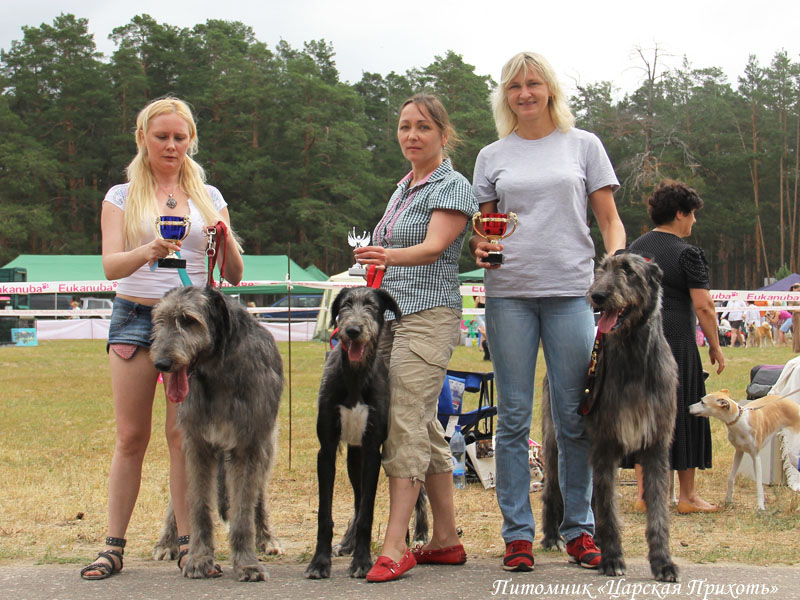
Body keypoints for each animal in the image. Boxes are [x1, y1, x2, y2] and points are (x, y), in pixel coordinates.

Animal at [150, 286, 284, 580]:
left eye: (189, 320)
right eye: (160, 321)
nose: (161, 363)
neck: (217, 372)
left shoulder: (247, 446)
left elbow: (243, 511)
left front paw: (247, 563)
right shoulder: (197, 444)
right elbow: (198, 507)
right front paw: (198, 558)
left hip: (266, 446)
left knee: (258, 495)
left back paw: (267, 539)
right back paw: (166, 543)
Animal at [540, 253, 680, 580]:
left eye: (628, 270)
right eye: (600, 269)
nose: (597, 296)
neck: (634, 357)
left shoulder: (656, 444)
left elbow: (657, 511)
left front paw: (663, 562)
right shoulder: (605, 441)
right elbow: (607, 508)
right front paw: (613, 558)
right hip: (554, 439)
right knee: (552, 488)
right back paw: (553, 536)